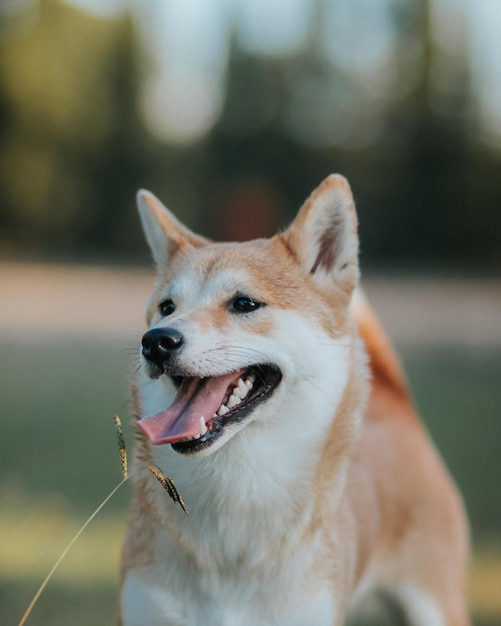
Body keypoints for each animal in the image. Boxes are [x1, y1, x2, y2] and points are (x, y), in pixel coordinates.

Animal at [118, 174, 468, 624]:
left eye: (244, 303)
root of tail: (396, 407)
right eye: (166, 307)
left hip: (435, 605)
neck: (235, 500)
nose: (156, 341)